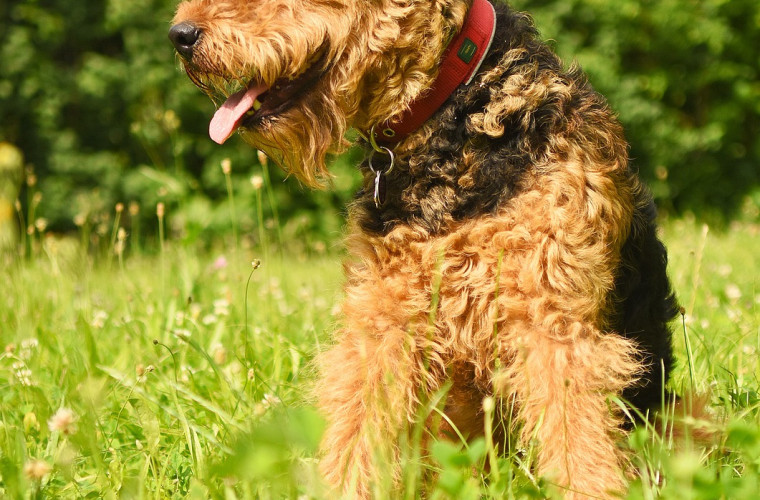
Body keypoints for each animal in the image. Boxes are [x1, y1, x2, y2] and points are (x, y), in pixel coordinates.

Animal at [171, 0, 676, 496]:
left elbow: (579, 444)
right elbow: (356, 430)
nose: (180, 35)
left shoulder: (550, 320)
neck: (452, 107)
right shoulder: (383, 322)